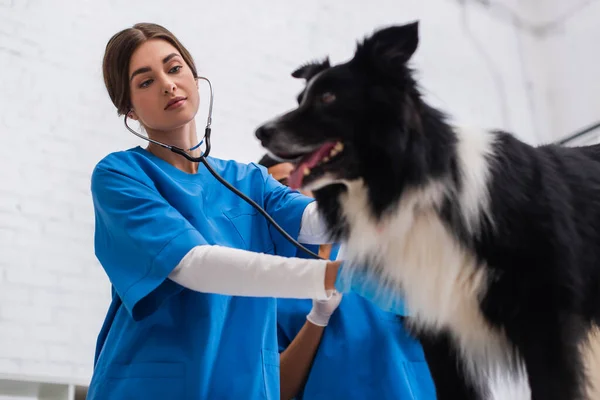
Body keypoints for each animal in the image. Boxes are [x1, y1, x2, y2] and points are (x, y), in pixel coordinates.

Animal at [255, 22, 600, 400]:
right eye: (301, 99)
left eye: (328, 98)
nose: (260, 132)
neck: (416, 190)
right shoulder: (439, 333)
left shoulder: (545, 325)